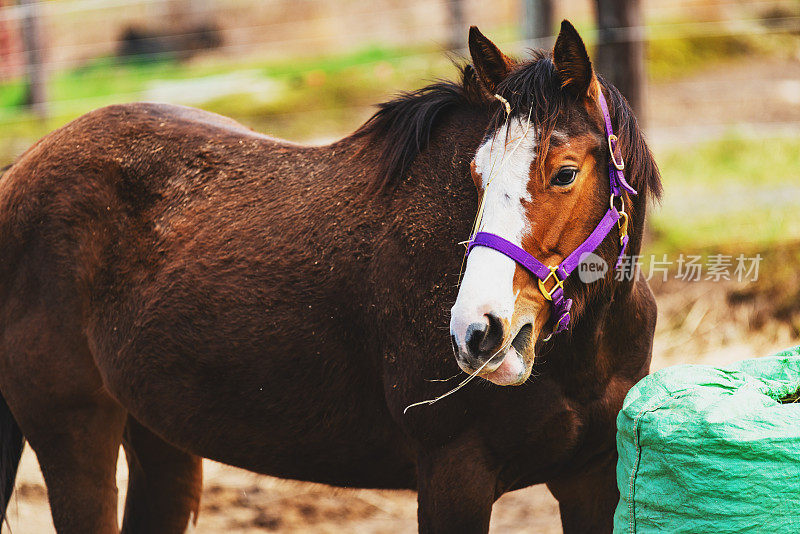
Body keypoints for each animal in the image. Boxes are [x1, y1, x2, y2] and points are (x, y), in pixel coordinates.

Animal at [0, 22, 660, 534]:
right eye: (475, 174)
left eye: (565, 172)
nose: (478, 333)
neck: (584, 352)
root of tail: (19, 173)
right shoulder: (455, 478)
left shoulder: (592, 478)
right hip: (75, 436)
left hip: (159, 440)